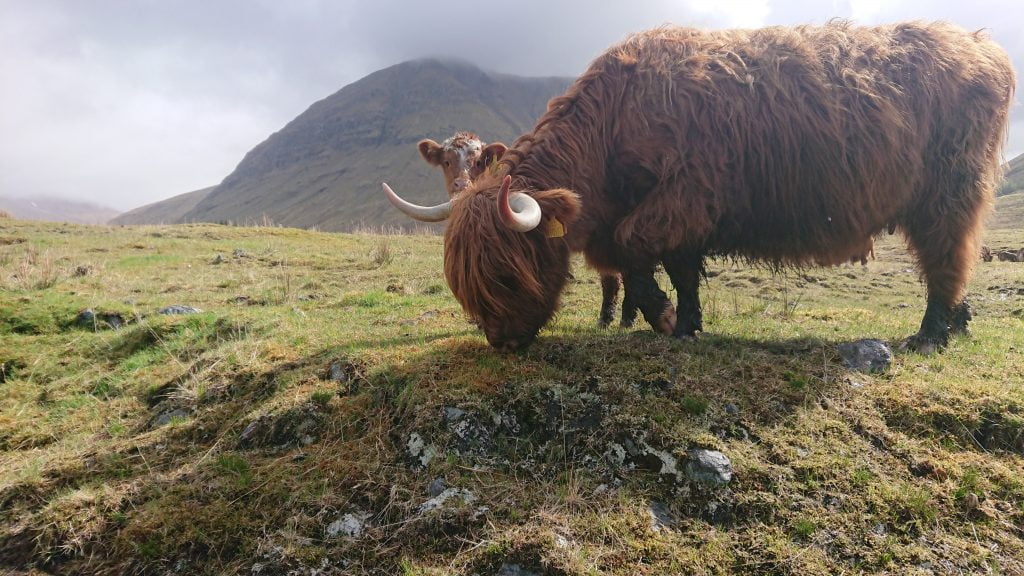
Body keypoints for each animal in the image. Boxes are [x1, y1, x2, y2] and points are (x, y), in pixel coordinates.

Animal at [385, 22, 1015, 352]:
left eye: (504, 273)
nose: (502, 341)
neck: (611, 124)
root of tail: (981, 43)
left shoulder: (684, 194)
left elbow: (637, 251)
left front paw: (665, 319)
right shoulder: (684, 213)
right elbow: (681, 268)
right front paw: (687, 324)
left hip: (950, 192)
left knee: (947, 256)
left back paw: (929, 335)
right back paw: (958, 323)